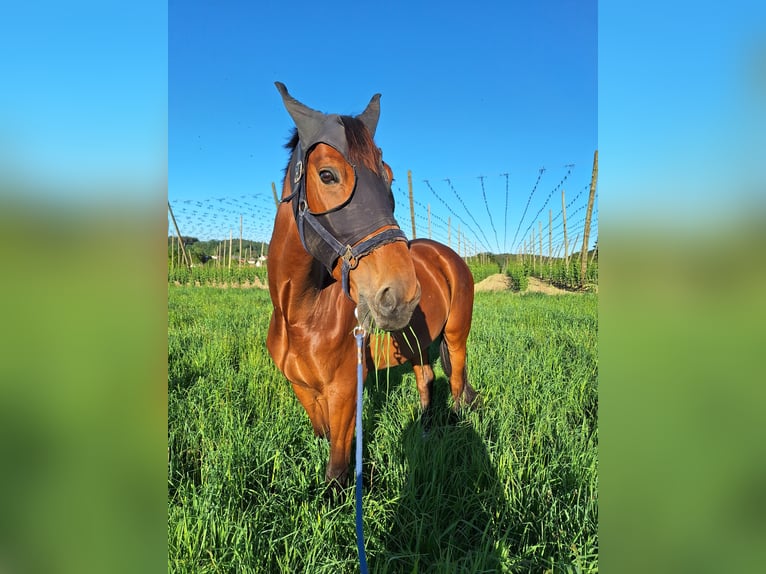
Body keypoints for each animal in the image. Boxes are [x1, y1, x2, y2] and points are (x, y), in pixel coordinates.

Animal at [266, 82, 478, 488]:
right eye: (328, 175)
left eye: (390, 177)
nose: (401, 294)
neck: (301, 317)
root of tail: (448, 256)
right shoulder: (306, 392)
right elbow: (323, 438)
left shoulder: (345, 393)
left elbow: (336, 468)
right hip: (415, 344)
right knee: (427, 379)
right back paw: (424, 432)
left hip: (457, 337)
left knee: (457, 385)